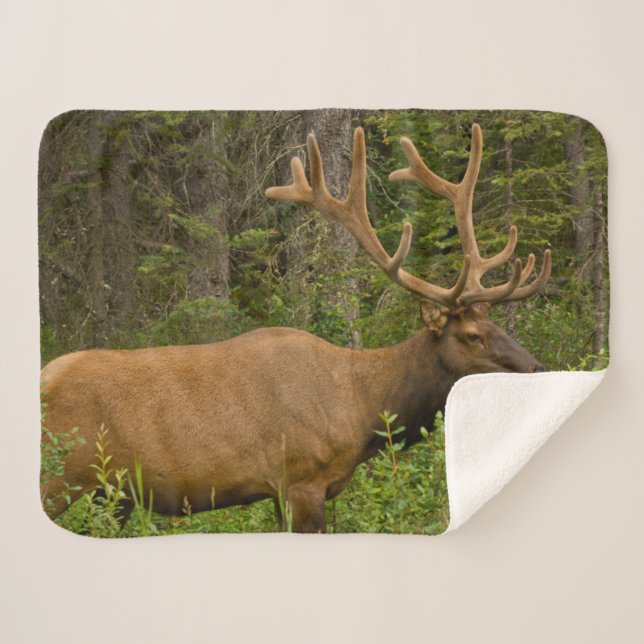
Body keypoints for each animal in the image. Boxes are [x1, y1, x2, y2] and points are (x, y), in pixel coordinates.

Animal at [40, 123, 551, 533]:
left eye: (493, 325)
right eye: (472, 336)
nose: (536, 369)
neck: (363, 408)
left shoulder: (283, 492)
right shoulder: (301, 479)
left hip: (108, 492)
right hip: (59, 476)